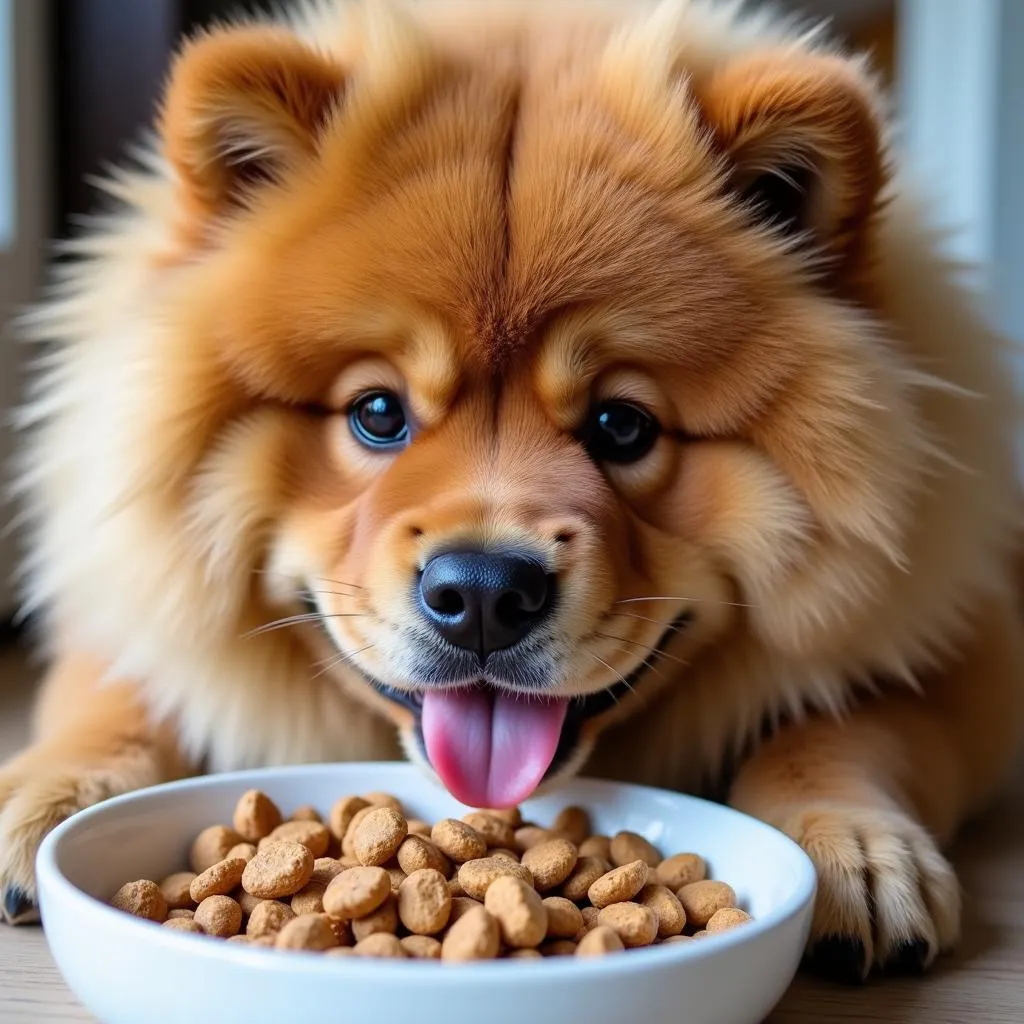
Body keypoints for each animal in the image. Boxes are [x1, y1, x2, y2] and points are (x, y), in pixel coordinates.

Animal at [2, 0, 1024, 983]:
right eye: (377, 412)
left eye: (622, 425)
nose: (486, 593)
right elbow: (121, 702)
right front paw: (40, 794)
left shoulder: (960, 641)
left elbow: (843, 726)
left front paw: (855, 847)